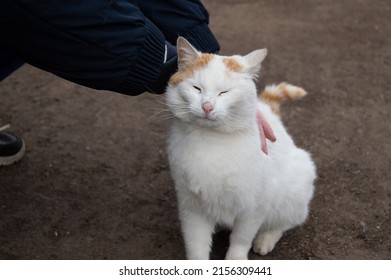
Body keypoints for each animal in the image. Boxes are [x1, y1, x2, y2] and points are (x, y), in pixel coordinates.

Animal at [165, 37, 316, 260]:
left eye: (224, 92)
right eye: (196, 88)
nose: (207, 106)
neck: (211, 141)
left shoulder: (255, 206)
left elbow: (241, 239)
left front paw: (236, 259)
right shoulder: (191, 207)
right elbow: (196, 245)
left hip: (295, 189)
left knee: (284, 223)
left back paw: (265, 239)